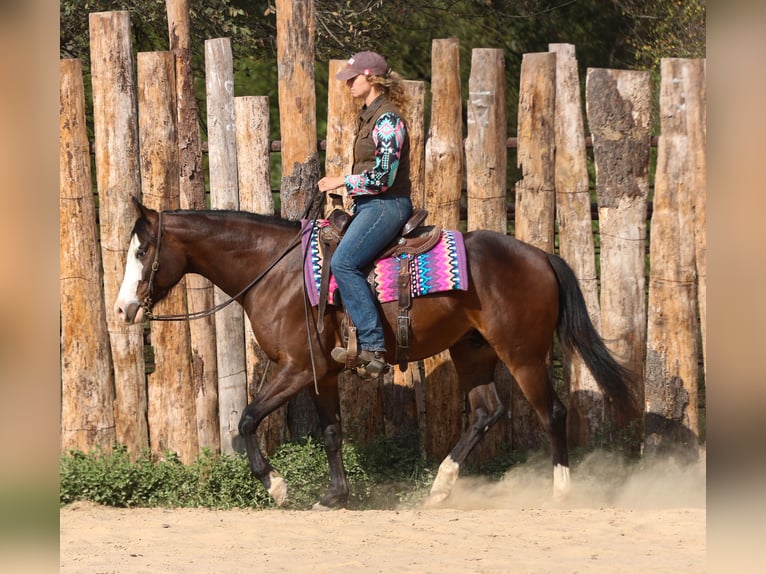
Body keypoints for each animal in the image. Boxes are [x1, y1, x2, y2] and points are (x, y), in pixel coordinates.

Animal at [114, 196, 639, 509]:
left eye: (141, 251)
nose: (122, 309)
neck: (276, 272)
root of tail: (541, 256)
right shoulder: (321, 373)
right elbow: (330, 432)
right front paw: (335, 495)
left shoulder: (295, 370)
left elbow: (246, 420)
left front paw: (277, 485)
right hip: (473, 352)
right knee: (486, 412)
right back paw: (440, 486)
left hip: (523, 354)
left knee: (552, 412)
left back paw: (560, 490)